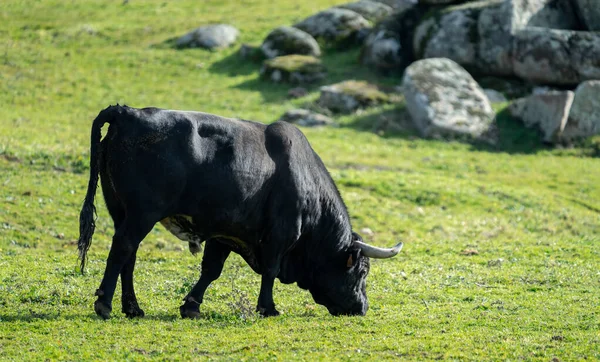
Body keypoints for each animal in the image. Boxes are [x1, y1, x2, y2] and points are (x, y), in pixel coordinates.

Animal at [76, 105, 404, 320]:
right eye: (362, 271)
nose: (362, 308)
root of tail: (127, 112)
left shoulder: (223, 232)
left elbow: (211, 270)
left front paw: (191, 306)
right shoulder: (281, 234)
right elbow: (269, 271)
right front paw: (268, 308)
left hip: (121, 210)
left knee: (128, 258)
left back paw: (132, 308)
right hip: (142, 213)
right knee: (123, 249)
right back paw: (105, 304)